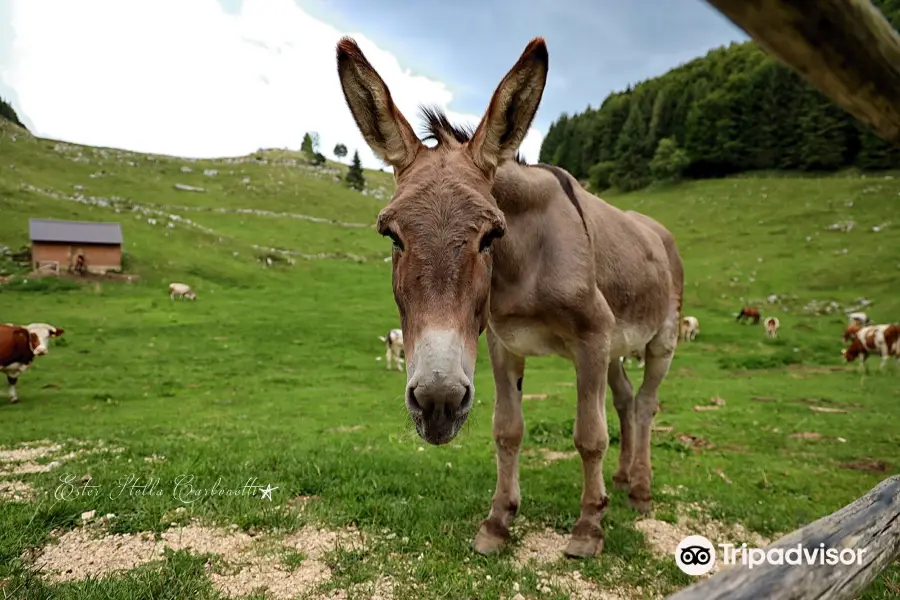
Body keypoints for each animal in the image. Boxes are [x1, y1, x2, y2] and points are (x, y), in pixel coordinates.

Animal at [338, 36, 684, 556]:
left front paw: (588, 527)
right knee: (625, 400)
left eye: (491, 235)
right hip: (617, 349)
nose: (437, 403)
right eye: (392, 235)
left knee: (644, 405)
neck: (525, 266)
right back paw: (622, 482)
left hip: (659, 339)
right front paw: (498, 522)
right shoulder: (504, 343)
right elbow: (507, 430)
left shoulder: (592, 338)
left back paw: (640, 492)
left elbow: (589, 435)